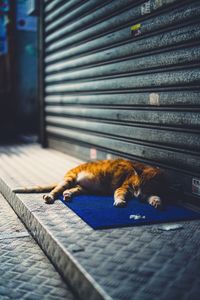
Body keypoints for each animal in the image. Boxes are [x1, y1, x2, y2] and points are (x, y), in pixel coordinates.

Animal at [12, 157, 166, 209]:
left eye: (145, 188)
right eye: (135, 186)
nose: (138, 196)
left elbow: (153, 196)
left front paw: (156, 201)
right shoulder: (123, 187)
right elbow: (119, 194)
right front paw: (120, 201)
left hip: (83, 188)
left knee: (71, 190)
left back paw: (68, 195)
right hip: (69, 179)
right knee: (57, 190)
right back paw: (50, 196)